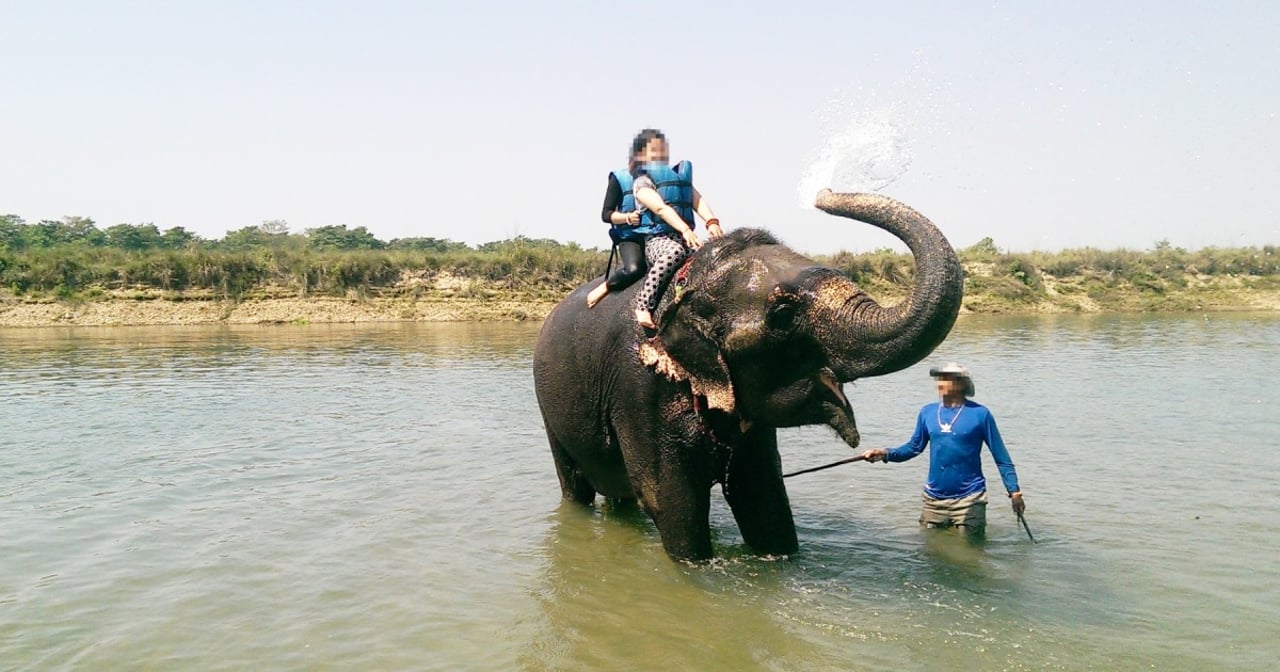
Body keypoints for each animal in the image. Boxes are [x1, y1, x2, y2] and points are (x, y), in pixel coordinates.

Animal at [529, 188, 962, 560]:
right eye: (783, 314)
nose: (822, 194)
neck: (688, 282)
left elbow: (761, 494)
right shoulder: (639, 387)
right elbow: (668, 499)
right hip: (549, 406)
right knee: (576, 484)